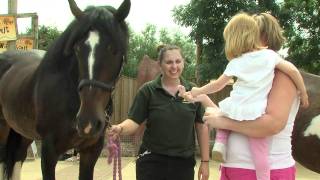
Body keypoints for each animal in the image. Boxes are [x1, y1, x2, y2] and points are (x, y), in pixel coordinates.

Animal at [0, 0, 131, 179]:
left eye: (113, 49)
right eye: (77, 48)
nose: (87, 122)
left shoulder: (91, 151)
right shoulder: (49, 152)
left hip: (23, 133)